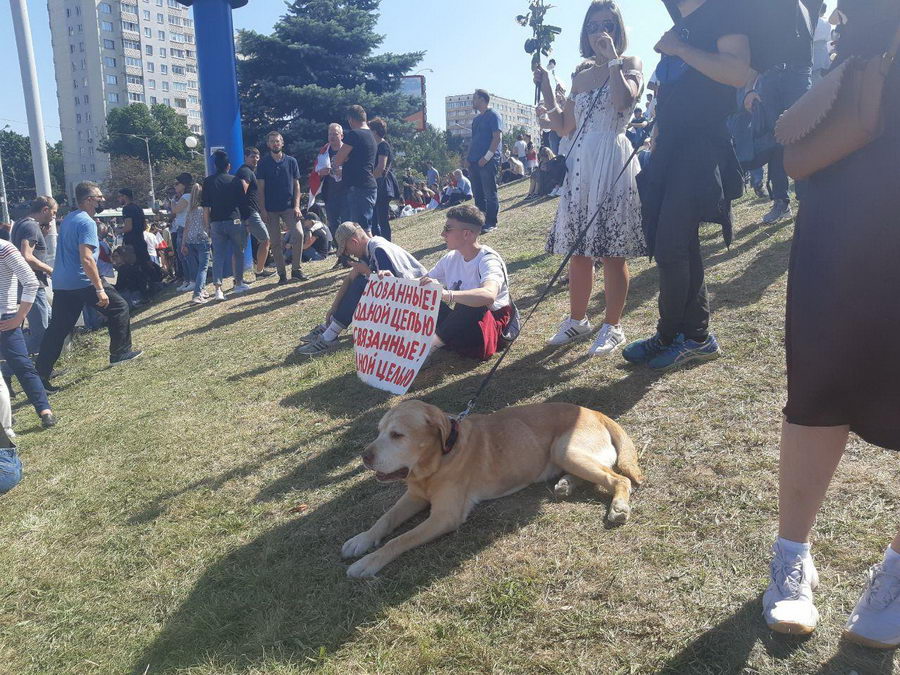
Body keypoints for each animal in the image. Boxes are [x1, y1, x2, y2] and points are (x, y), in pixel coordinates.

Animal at [342, 402, 644, 580]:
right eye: (379, 431)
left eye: (397, 435)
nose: (364, 457)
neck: (439, 458)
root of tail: (594, 411)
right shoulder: (414, 496)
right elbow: (386, 519)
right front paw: (361, 540)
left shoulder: (444, 517)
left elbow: (399, 539)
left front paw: (369, 561)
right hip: (565, 455)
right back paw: (567, 484)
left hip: (566, 450)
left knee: (618, 478)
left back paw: (618, 506)